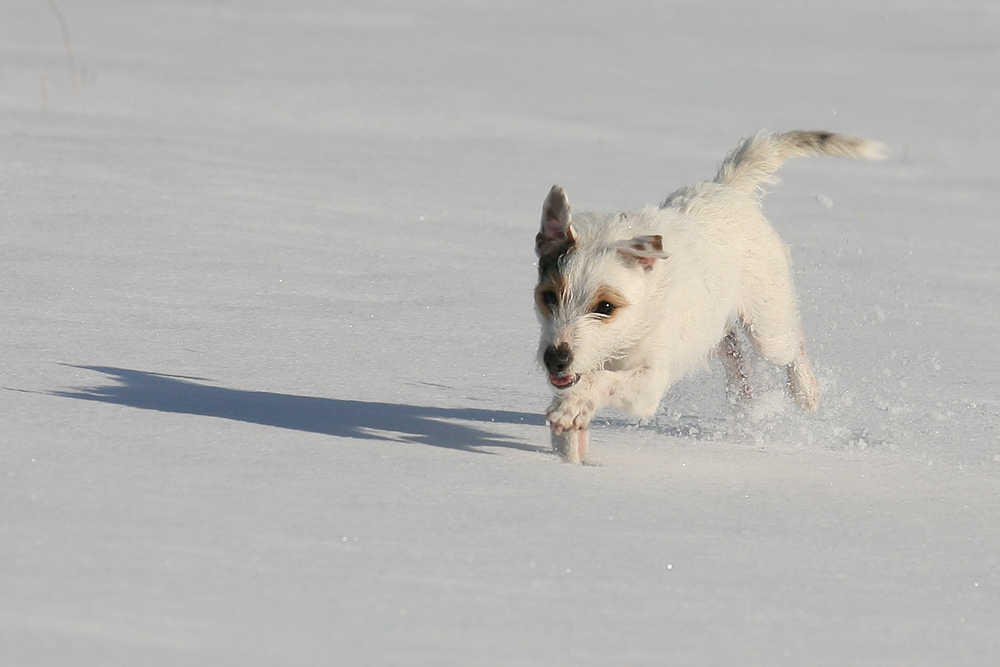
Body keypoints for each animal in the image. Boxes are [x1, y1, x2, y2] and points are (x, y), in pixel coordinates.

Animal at [536, 130, 888, 464]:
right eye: (548, 297)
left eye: (606, 306)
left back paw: (807, 392)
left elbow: (606, 381)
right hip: (716, 325)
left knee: (791, 345)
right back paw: (745, 400)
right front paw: (570, 440)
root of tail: (728, 188)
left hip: (767, 325)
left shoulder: (649, 383)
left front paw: (573, 405)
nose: (555, 358)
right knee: (732, 352)